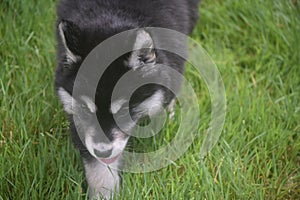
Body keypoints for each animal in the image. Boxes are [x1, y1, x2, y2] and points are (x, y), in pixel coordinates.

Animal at [55, 0, 200, 198]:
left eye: (124, 110)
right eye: (85, 109)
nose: (103, 152)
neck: (112, 15)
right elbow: (99, 169)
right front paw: (103, 194)